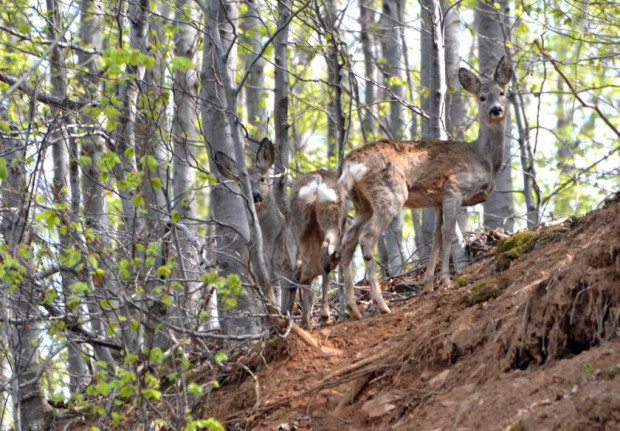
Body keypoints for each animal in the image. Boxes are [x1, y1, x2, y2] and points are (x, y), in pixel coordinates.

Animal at [214, 138, 346, 328]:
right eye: (241, 184)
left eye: (262, 178)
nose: (255, 196)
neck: (274, 236)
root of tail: (318, 180)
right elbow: (309, 289)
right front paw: (306, 322)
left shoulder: (280, 265)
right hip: (334, 217)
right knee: (333, 258)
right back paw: (326, 315)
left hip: (296, 228)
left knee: (297, 269)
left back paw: (288, 318)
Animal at [340, 55, 512, 318]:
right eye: (482, 97)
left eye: (502, 92)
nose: (495, 110)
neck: (484, 159)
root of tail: (350, 163)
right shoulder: (453, 188)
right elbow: (449, 233)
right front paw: (445, 279)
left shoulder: (437, 200)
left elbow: (436, 236)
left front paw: (429, 283)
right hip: (390, 192)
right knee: (367, 238)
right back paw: (382, 304)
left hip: (362, 203)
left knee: (348, 239)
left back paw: (353, 309)